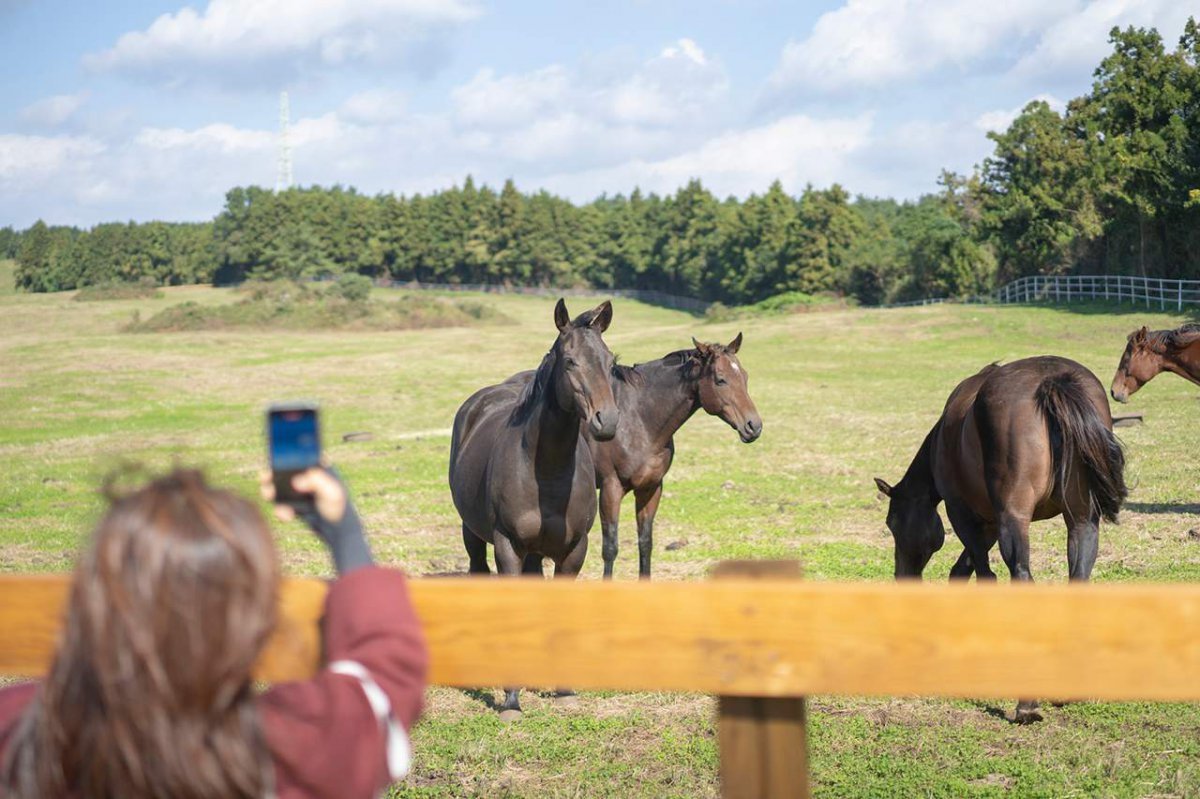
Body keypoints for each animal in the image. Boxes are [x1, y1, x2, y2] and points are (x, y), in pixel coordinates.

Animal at [451, 298, 619, 715]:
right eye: (570, 361)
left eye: (611, 362)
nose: (606, 421)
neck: (545, 469)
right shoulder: (508, 544)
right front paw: (511, 699)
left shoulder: (574, 549)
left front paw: (564, 688)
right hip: (473, 534)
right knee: (478, 573)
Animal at [873, 355, 1123, 719]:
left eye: (892, 523)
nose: (901, 578)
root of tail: (1052, 380)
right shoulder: (988, 523)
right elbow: (961, 571)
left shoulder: (964, 514)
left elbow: (983, 574)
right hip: (1080, 521)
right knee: (1078, 579)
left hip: (1014, 521)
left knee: (1021, 577)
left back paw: (1026, 704)